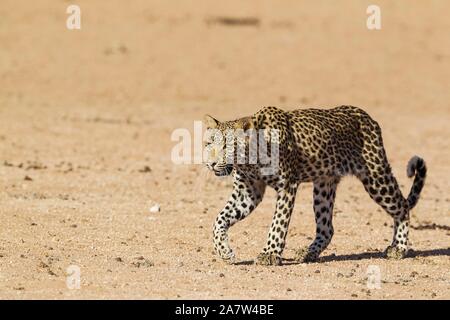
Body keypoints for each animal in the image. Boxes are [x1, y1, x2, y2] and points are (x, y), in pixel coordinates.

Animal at [202, 105, 428, 264]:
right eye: (208, 143)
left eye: (227, 146)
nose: (210, 163)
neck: (249, 161)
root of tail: (368, 118)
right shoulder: (248, 191)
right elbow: (220, 219)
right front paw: (224, 251)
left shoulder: (287, 186)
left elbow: (278, 223)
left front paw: (270, 254)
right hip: (324, 187)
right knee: (327, 228)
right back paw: (307, 253)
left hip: (375, 176)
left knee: (402, 206)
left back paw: (398, 248)